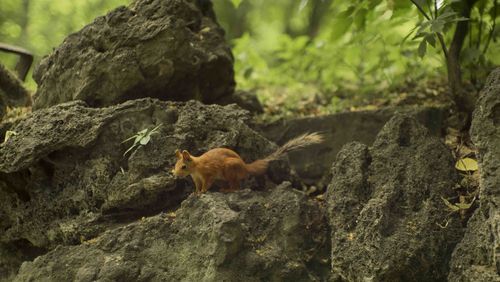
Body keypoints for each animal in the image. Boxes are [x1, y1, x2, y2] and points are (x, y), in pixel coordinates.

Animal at [173, 132, 324, 194]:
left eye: (183, 166)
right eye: (175, 166)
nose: (175, 175)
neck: (196, 168)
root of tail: (245, 167)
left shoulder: (208, 173)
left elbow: (207, 183)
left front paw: (203, 191)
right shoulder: (196, 179)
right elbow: (197, 186)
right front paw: (195, 193)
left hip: (229, 169)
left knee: (236, 186)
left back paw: (228, 190)